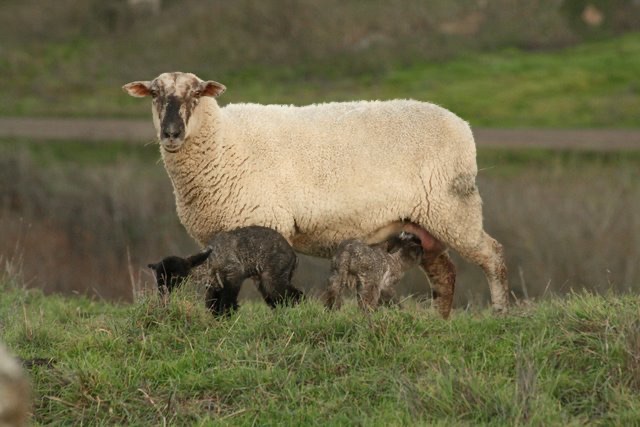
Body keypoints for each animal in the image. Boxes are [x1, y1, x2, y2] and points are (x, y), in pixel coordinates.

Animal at [148, 225, 304, 315]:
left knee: (296, 295)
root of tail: (294, 256)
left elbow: (227, 305)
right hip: (263, 283)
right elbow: (212, 307)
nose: (163, 292)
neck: (210, 263)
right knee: (278, 301)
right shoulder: (214, 287)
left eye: (175, 276)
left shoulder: (234, 276)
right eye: (158, 279)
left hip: (273, 279)